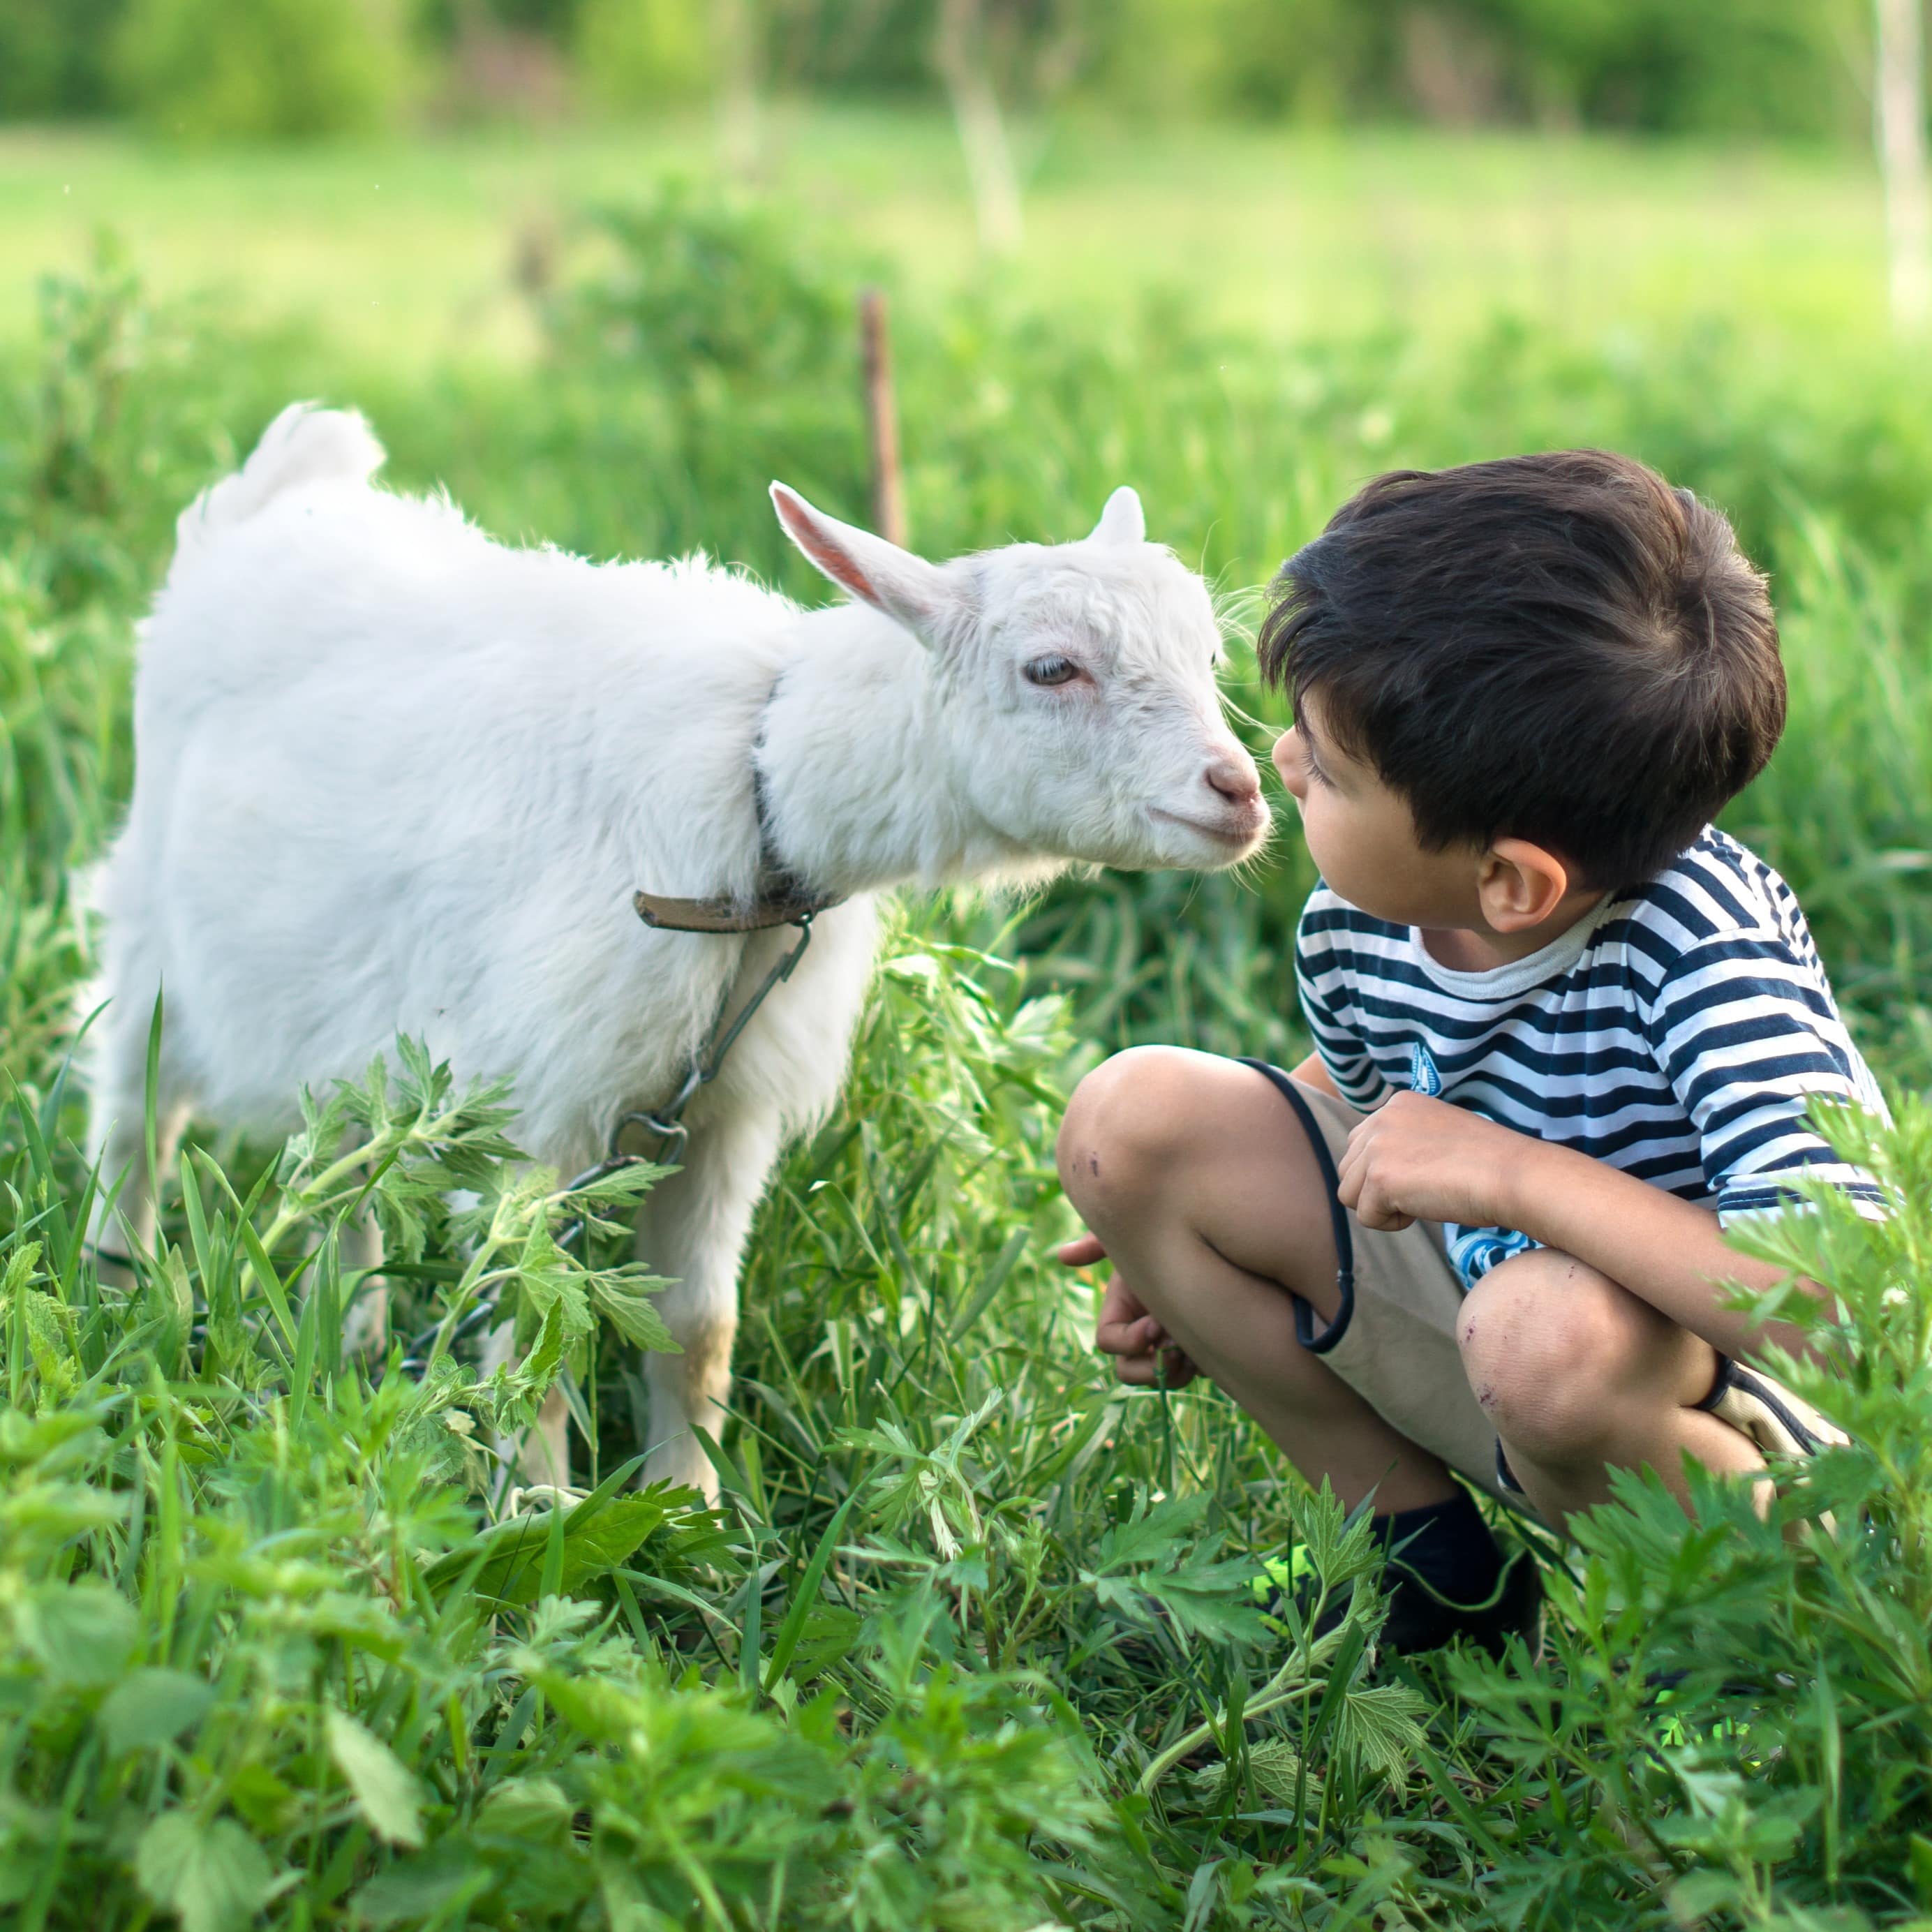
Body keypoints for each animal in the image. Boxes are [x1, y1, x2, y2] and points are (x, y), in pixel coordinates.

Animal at [87, 403, 1267, 1491]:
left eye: (1209, 656)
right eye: (1051, 668)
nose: (1241, 792)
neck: (758, 794)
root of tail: (274, 495)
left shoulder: (722, 1111)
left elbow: (700, 1326)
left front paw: (688, 1510)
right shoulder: (545, 1103)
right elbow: (541, 1327)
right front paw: (542, 1508)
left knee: (345, 1171)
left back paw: (355, 1342)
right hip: (153, 934)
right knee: (133, 1120)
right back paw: (114, 1288)